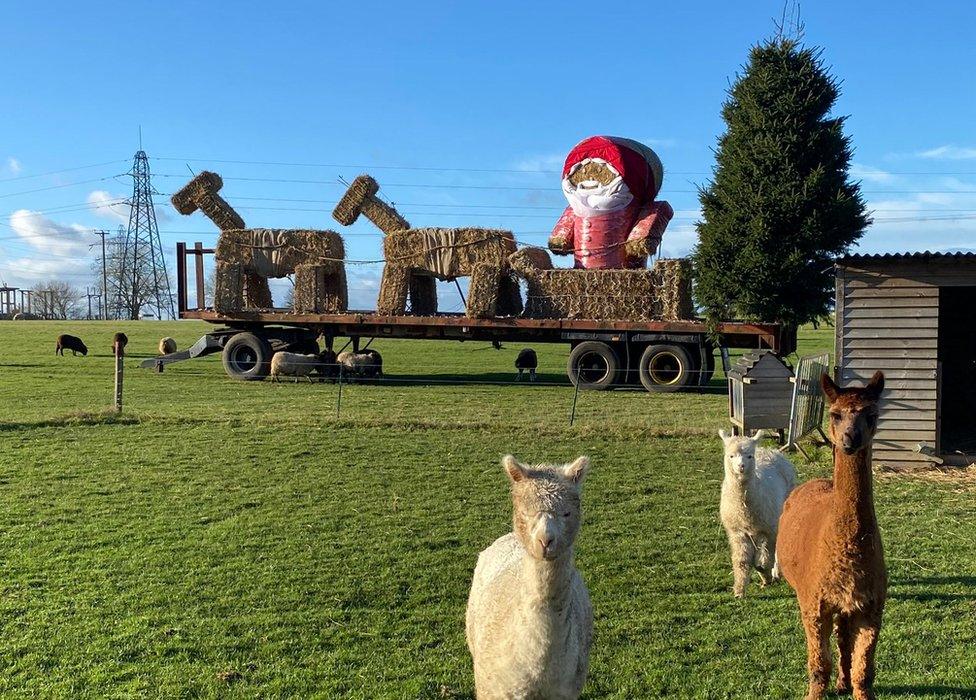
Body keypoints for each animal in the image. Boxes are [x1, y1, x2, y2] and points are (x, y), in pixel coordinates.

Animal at [720, 430, 796, 600]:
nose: (741, 466)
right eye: (731, 456)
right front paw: (739, 591)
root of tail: (769, 450)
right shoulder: (738, 532)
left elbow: (765, 558)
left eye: (749, 456)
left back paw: (776, 572)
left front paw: (767, 577)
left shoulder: (768, 530)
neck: (746, 512)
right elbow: (741, 561)